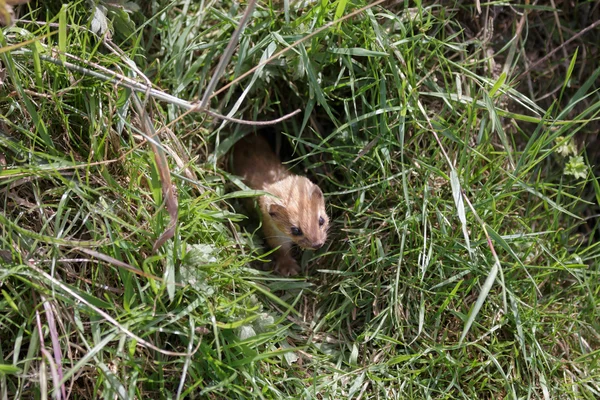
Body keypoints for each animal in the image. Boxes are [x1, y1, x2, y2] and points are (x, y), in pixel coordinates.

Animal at [232, 134, 330, 276]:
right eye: (295, 230)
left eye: (321, 220)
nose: (317, 244)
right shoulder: (273, 231)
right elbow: (279, 248)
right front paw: (288, 267)